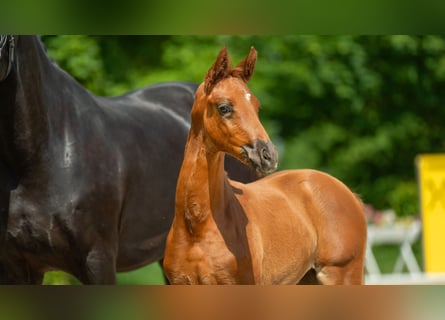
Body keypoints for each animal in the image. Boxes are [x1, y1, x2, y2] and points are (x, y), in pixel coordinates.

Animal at [161, 46, 366, 284]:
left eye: (256, 106)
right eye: (224, 107)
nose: (269, 155)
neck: (196, 226)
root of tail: (347, 192)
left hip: (343, 273)